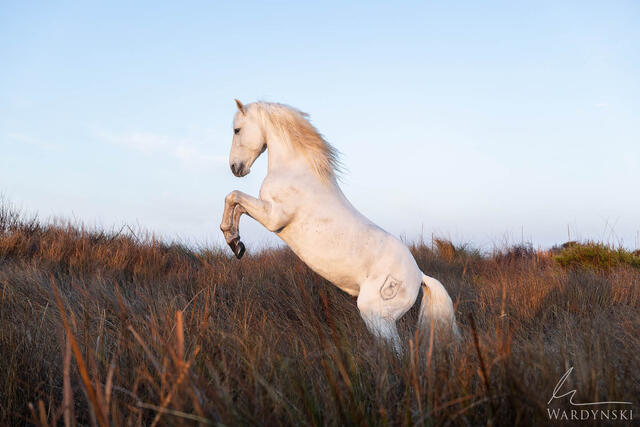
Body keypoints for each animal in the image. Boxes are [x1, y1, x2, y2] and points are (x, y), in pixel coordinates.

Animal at [220, 100, 460, 352]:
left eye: (237, 130)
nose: (235, 167)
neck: (296, 171)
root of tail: (419, 275)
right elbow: (237, 206)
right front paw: (236, 244)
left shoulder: (273, 217)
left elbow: (233, 196)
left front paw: (232, 240)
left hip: (376, 315)